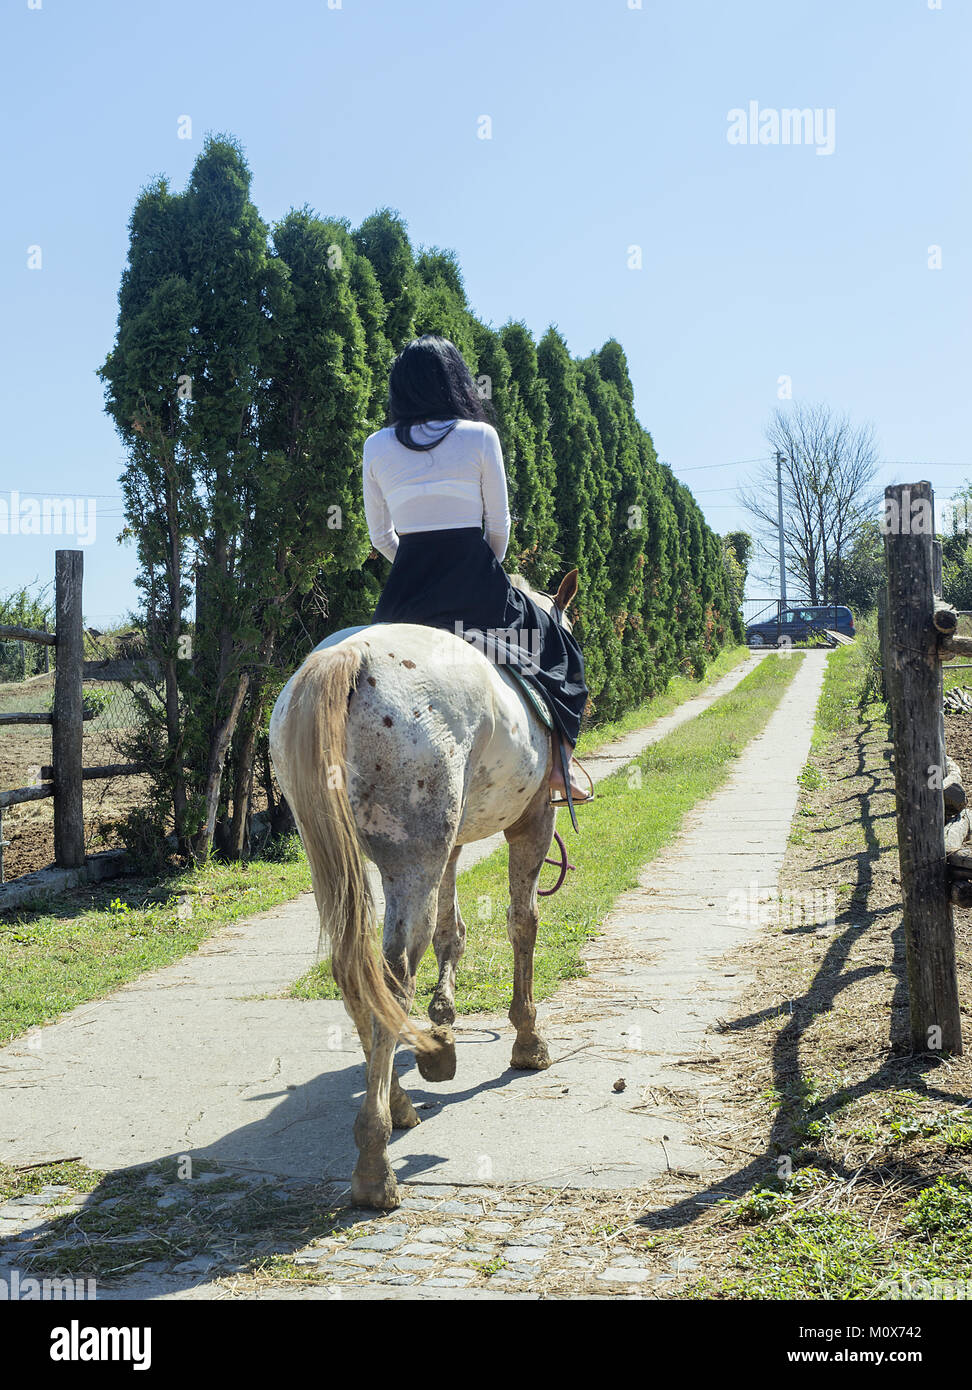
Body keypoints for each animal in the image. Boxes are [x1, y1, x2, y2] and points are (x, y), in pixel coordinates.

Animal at [268, 568, 579, 1210]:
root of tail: (344, 658)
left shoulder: (452, 846)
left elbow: (450, 931)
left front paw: (443, 1022)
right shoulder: (532, 822)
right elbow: (522, 922)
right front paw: (527, 1039)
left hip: (345, 855)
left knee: (356, 972)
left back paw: (401, 1101)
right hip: (414, 857)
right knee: (390, 975)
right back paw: (375, 1162)